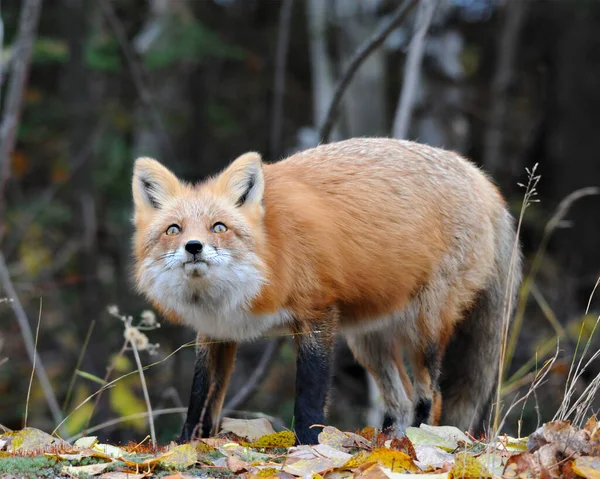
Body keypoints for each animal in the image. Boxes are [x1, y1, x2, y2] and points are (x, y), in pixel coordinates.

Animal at [130, 138, 520, 446]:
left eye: (219, 227)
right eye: (174, 230)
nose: (194, 247)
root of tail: (481, 178)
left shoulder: (318, 314)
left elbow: (309, 394)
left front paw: (308, 444)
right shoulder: (216, 331)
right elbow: (200, 398)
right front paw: (185, 445)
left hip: (423, 330)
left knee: (429, 396)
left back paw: (414, 442)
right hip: (368, 340)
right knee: (402, 400)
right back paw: (388, 444)